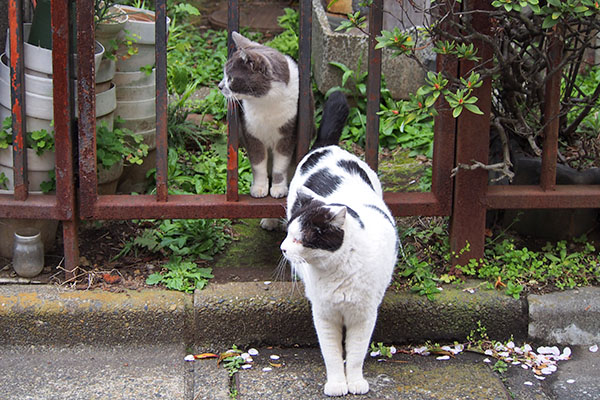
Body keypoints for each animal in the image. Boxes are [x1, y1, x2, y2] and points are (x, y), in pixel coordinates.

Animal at [219, 31, 314, 202]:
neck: (264, 102)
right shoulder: (251, 134)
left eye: (230, 78)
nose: (220, 86)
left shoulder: (288, 134)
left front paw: (278, 189)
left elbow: (280, 166)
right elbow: (258, 164)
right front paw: (259, 188)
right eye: (224, 75)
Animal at [282, 91, 398, 396]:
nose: (283, 248)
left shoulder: (364, 315)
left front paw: (355, 382)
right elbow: (332, 354)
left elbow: (356, 353)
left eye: (300, 238)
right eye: (287, 234)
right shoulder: (324, 315)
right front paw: (336, 384)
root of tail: (328, 147)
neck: (336, 272)